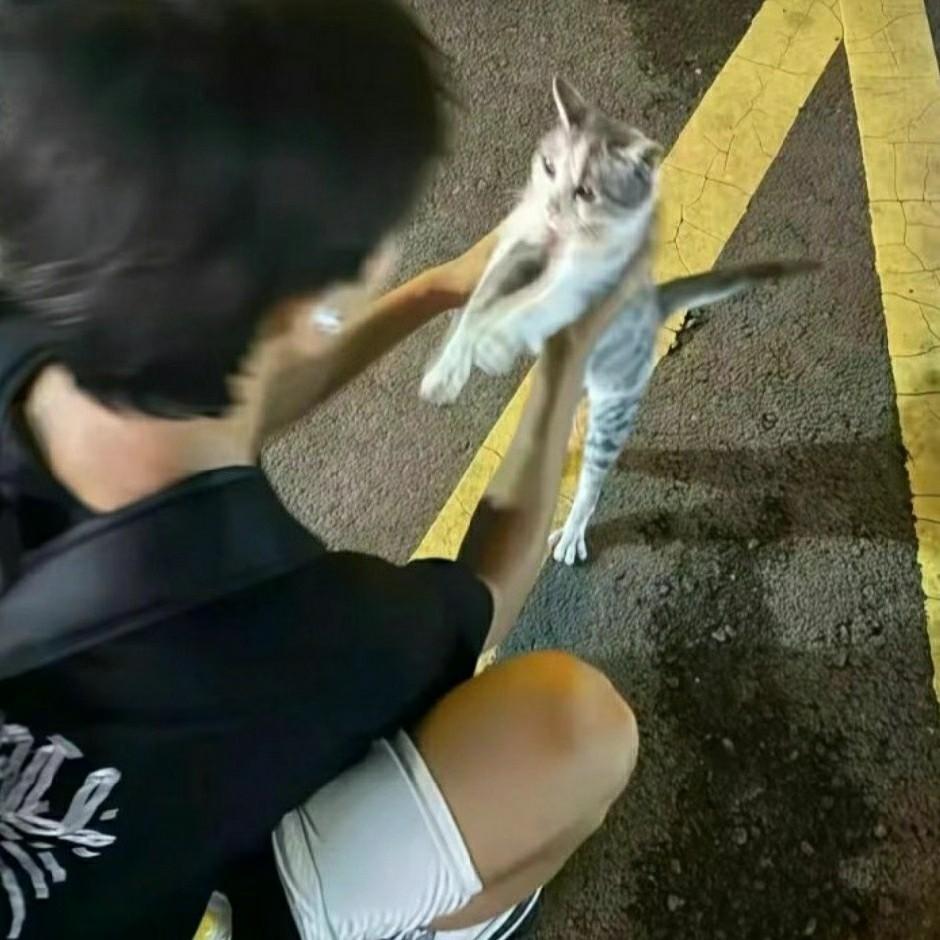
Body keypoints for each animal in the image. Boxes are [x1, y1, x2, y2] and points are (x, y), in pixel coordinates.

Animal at [421, 77, 817, 564]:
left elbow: (537, 303)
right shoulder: (517, 248)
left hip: (615, 402)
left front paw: (497, 340)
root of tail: (655, 304)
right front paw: (446, 370)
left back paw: (572, 530)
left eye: (586, 192)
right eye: (548, 167)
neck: (561, 243)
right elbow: (479, 303)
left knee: (593, 480)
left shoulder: (588, 282)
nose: (551, 209)